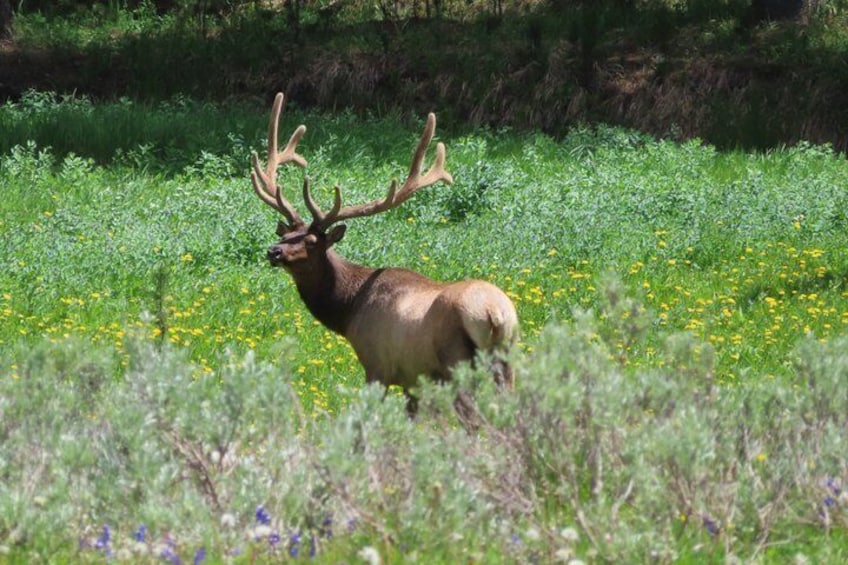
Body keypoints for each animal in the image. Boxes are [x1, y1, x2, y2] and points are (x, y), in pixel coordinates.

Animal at [249, 93, 518, 408]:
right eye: (285, 233)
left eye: (312, 242)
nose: (274, 251)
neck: (348, 310)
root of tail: (495, 314)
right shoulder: (414, 381)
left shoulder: (377, 364)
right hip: (506, 363)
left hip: (456, 362)